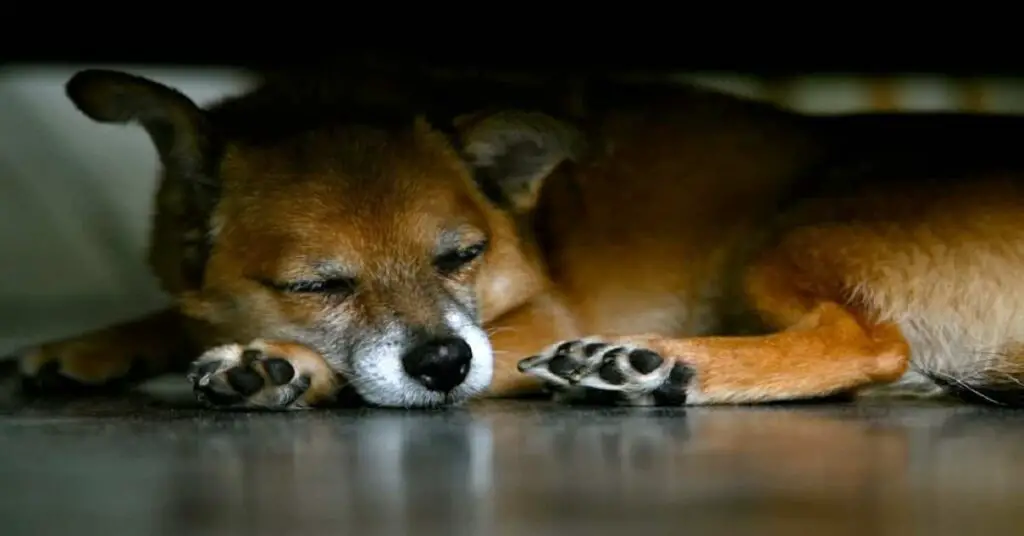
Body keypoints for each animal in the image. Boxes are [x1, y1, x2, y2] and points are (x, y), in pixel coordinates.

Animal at [18, 68, 1024, 411]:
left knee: (867, 343)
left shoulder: (527, 322)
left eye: (463, 257)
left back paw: (651, 365)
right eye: (316, 285)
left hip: (784, 240)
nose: (441, 363)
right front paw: (88, 345)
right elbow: (169, 307)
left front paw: (279, 366)